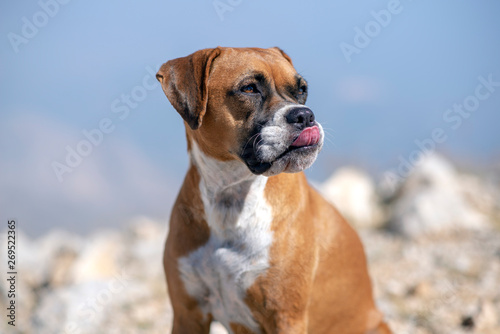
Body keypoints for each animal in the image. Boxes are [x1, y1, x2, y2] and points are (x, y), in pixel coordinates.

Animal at [156, 47, 390, 334]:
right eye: (249, 88)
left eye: (302, 89)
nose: (304, 114)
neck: (232, 195)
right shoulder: (187, 315)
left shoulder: (286, 317)